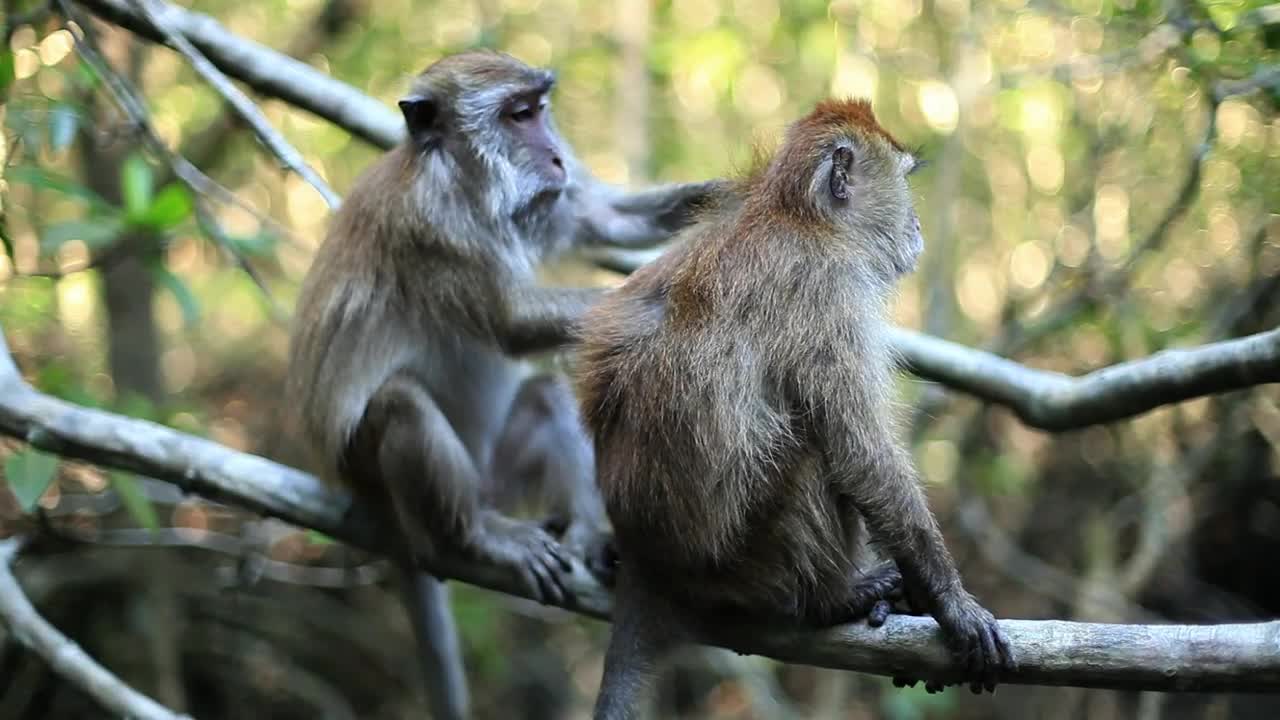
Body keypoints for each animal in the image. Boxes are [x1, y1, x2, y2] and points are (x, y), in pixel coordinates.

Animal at [288, 51, 721, 717]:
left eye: (539, 110)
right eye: (517, 116)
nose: (558, 157)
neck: (461, 181)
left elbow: (601, 218)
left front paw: (729, 197)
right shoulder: (432, 228)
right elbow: (509, 322)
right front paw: (670, 294)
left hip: (496, 474)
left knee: (545, 397)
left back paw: (586, 533)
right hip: (373, 474)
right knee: (401, 404)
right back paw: (474, 539)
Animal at [576, 96, 1013, 717]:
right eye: (904, 182)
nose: (917, 226)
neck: (798, 218)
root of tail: (649, 558)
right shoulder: (827, 290)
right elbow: (860, 455)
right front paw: (953, 604)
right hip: (746, 561)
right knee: (809, 450)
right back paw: (832, 600)